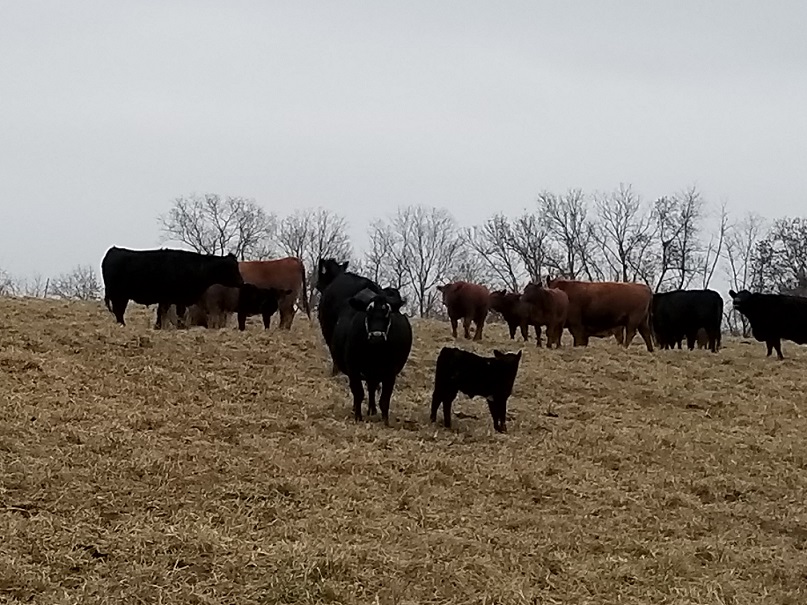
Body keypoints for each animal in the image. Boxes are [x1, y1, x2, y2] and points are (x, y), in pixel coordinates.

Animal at [100, 245, 243, 328]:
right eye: (232, 268)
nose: (242, 282)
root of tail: (113, 250)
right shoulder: (172, 297)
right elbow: (173, 313)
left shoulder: (172, 298)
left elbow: (165, 312)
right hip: (119, 295)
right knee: (119, 311)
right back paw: (122, 325)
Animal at [332, 288, 414, 424]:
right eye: (368, 313)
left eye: (387, 314)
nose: (377, 336)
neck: (375, 352)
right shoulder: (353, 368)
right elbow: (358, 393)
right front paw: (358, 416)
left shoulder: (391, 371)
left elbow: (385, 399)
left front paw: (385, 421)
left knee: (372, 388)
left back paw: (372, 410)